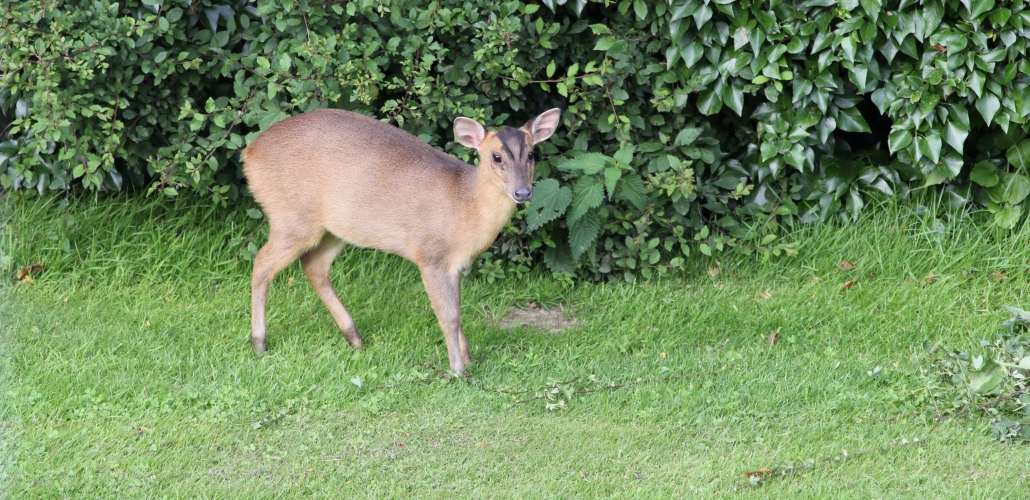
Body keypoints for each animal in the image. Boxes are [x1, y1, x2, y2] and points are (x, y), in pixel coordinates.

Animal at [241, 108, 564, 375]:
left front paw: (469, 358)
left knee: (313, 265)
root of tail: (249, 154)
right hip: (292, 218)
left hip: (334, 229)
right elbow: (448, 316)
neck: (464, 205)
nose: (522, 192)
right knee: (262, 262)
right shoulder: (431, 256)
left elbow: (458, 312)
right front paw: (458, 370)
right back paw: (259, 342)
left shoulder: (455, 265)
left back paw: (355, 338)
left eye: (532, 154)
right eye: (496, 157)